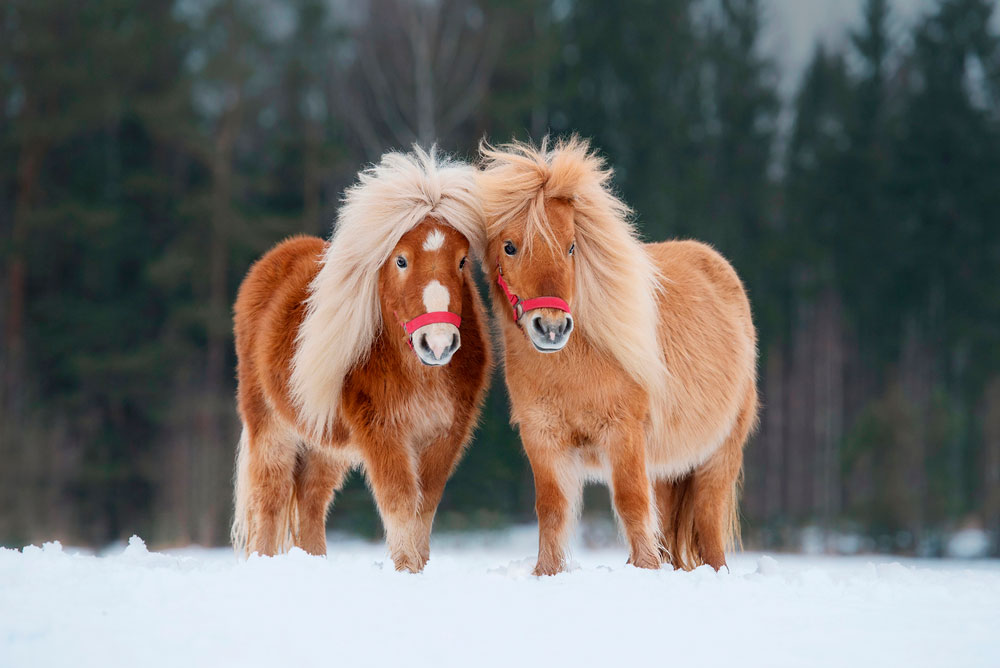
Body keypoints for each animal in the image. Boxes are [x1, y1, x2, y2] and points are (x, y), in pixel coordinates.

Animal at [228, 147, 492, 576]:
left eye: (462, 261)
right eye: (400, 261)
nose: (437, 344)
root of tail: (273, 260)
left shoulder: (443, 436)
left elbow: (424, 509)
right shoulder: (383, 433)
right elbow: (400, 504)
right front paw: (407, 571)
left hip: (324, 444)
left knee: (311, 499)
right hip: (271, 428)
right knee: (271, 499)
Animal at [476, 136, 756, 576]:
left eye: (572, 246)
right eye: (510, 246)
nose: (551, 328)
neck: (575, 367)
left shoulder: (622, 434)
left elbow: (630, 504)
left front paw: (643, 570)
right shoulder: (543, 438)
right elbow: (552, 511)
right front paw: (546, 573)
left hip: (717, 456)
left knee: (709, 527)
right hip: (664, 465)